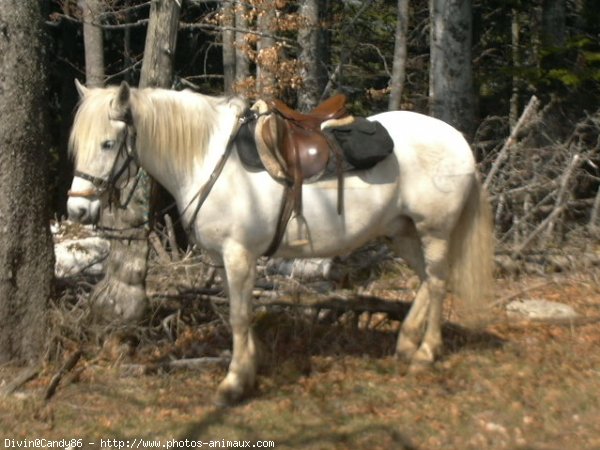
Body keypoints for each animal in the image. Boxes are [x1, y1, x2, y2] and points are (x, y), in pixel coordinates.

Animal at [68, 81, 494, 404]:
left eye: (107, 144)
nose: (76, 210)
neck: (208, 159)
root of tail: (458, 139)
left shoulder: (239, 255)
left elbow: (239, 315)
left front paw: (234, 383)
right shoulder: (225, 260)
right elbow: (238, 312)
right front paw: (249, 369)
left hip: (434, 231)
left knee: (437, 281)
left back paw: (425, 352)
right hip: (402, 232)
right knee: (428, 281)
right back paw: (406, 343)